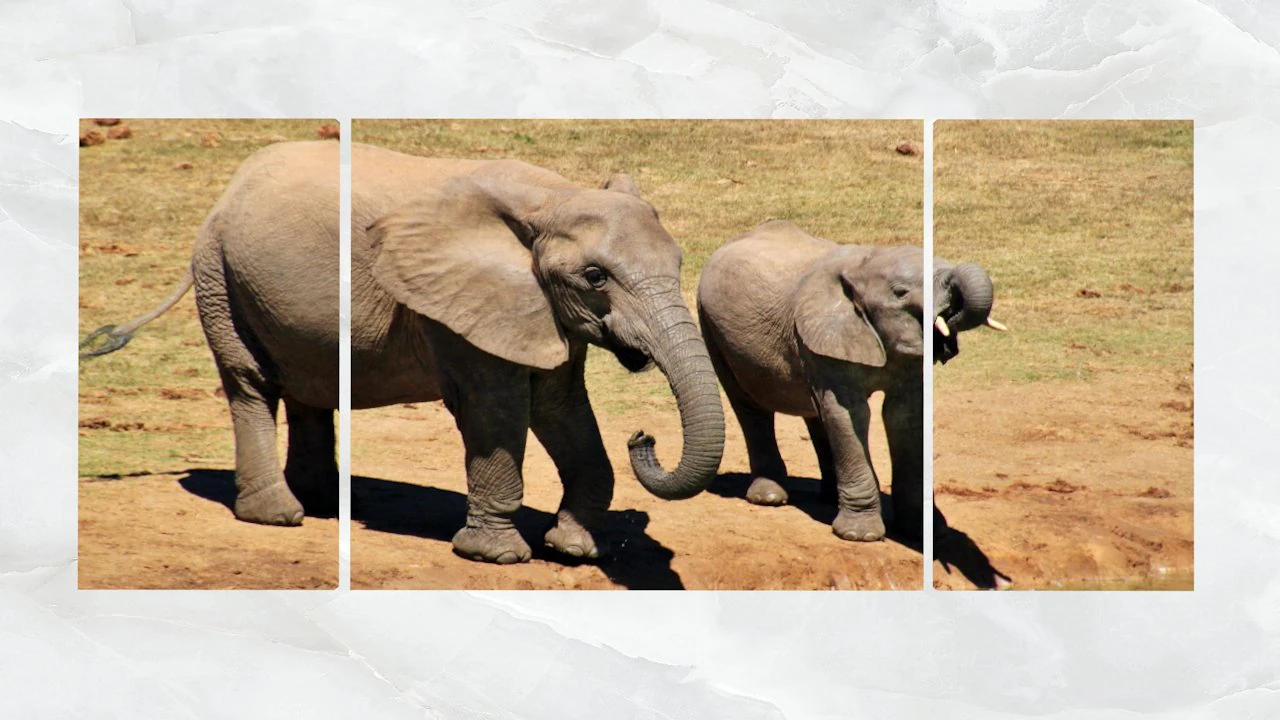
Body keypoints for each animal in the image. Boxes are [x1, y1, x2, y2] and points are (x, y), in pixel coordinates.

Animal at [84, 140, 726, 566]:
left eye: (677, 263)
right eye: (596, 277)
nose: (643, 434)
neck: (551, 196)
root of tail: (227, 192)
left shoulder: (537, 308)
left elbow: (560, 406)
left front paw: (574, 549)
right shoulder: (452, 305)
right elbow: (494, 407)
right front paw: (496, 556)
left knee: (309, 385)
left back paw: (325, 503)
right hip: (220, 277)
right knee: (251, 383)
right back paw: (279, 515)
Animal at [696, 220, 1001, 542]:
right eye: (901, 292)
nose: (952, 313)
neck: (864, 265)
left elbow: (904, 417)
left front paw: (923, 533)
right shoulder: (826, 333)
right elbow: (850, 414)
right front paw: (860, 536)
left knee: (815, 411)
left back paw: (830, 498)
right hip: (713, 329)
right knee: (751, 407)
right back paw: (769, 497)